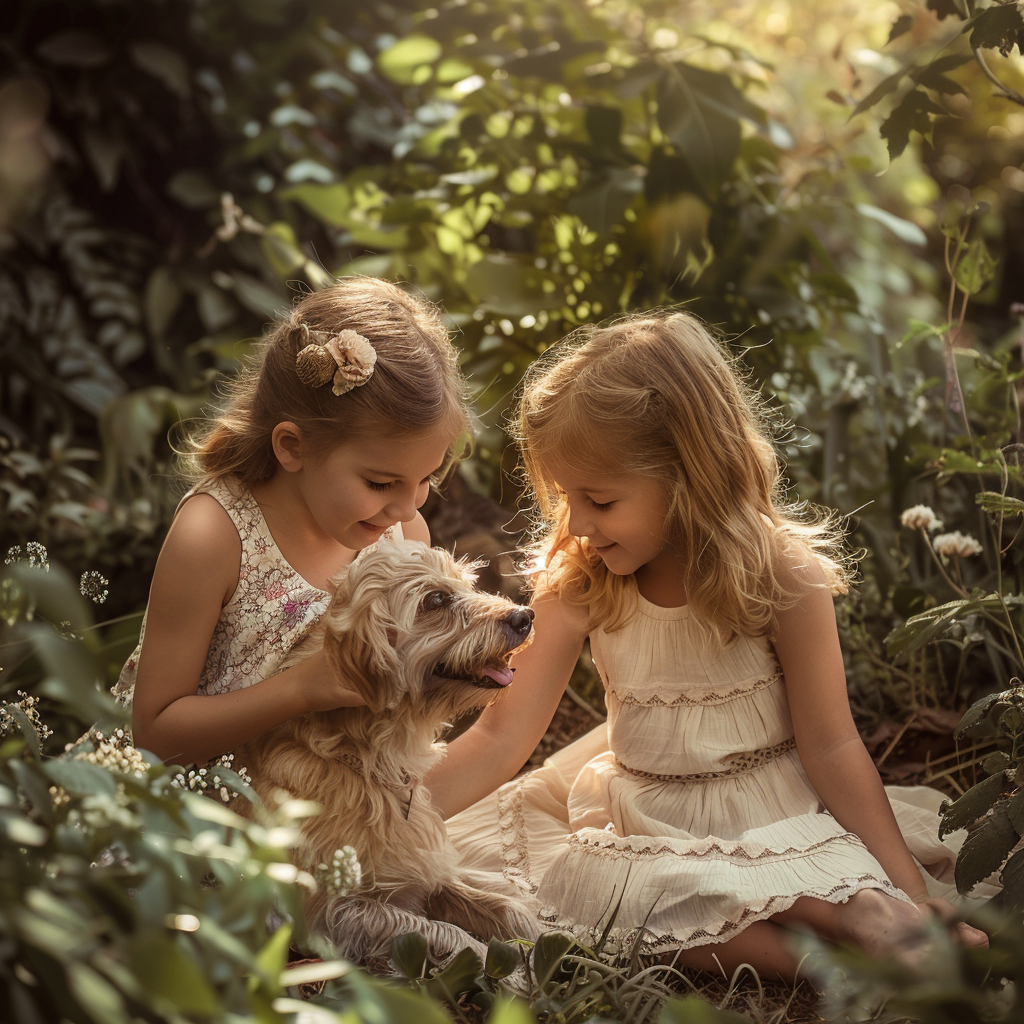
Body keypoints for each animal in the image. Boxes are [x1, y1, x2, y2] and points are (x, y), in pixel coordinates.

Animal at [235, 540, 540, 962]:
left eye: (465, 585)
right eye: (436, 599)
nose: (525, 615)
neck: (368, 762)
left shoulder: (425, 873)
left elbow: (505, 910)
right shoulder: (333, 917)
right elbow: (450, 936)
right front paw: (496, 963)